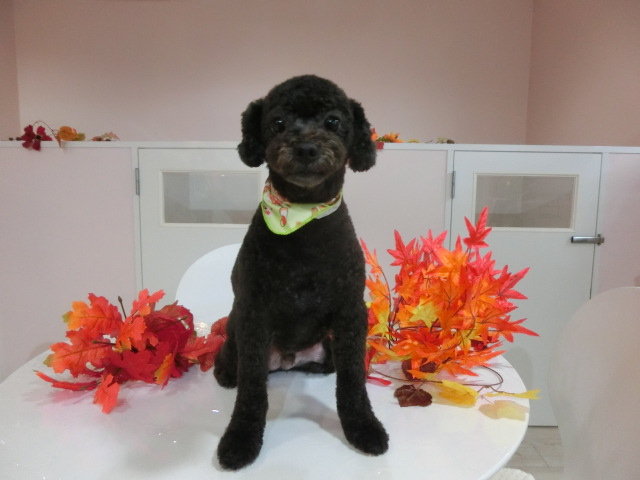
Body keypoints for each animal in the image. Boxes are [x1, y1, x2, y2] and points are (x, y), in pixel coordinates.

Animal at [213, 75, 389, 470]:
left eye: (334, 121)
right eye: (277, 123)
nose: (306, 148)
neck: (303, 222)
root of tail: (289, 361)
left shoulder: (351, 313)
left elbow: (353, 381)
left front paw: (364, 428)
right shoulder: (254, 314)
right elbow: (251, 391)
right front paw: (240, 440)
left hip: (327, 348)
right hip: (235, 328)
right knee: (234, 363)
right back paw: (225, 372)